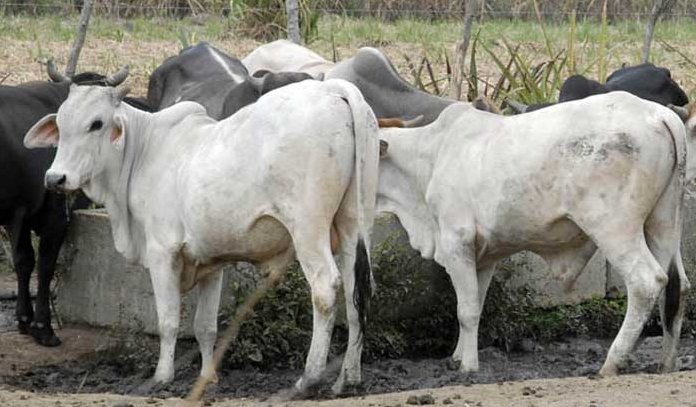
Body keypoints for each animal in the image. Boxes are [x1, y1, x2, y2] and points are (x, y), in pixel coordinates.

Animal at [0, 64, 143, 348]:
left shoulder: (18, 214)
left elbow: (23, 261)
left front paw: (25, 319)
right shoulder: (53, 216)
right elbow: (44, 265)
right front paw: (43, 327)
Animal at [24, 78, 380, 394]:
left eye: (96, 123)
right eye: (61, 123)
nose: (55, 178)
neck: (143, 152)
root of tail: (332, 88)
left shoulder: (162, 252)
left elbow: (168, 320)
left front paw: (162, 376)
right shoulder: (212, 262)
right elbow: (205, 327)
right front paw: (208, 377)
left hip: (308, 228)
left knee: (325, 288)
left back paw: (310, 377)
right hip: (353, 225)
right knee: (355, 294)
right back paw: (348, 379)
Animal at [378, 91, 692, 376]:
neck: (431, 156)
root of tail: (658, 114)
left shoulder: (457, 243)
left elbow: (465, 310)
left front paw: (468, 367)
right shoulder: (484, 256)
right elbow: (475, 305)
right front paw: (457, 356)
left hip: (614, 228)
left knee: (647, 281)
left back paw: (612, 362)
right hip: (664, 224)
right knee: (677, 286)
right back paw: (666, 363)